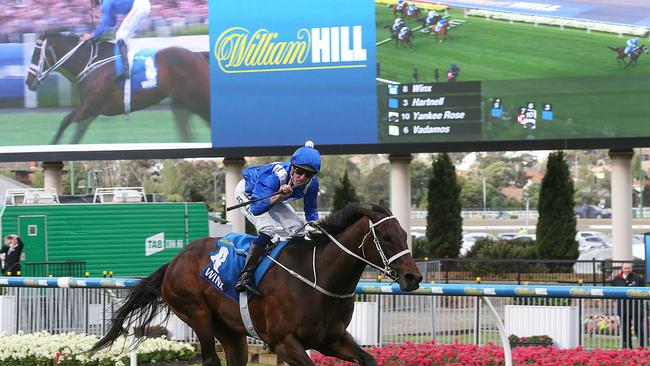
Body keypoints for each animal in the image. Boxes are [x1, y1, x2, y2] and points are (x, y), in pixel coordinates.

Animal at [24, 32, 208, 144]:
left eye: (35, 54)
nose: (28, 82)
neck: (90, 66)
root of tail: (198, 55)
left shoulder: (90, 107)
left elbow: (66, 123)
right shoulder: (90, 111)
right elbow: (73, 132)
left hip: (196, 100)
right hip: (181, 103)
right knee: (186, 130)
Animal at [92, 203, 426, 366]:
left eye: (405, 235)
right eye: (387, 238)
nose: (414, 277)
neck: (318, 278)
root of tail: (175, 260)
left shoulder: (331, 340)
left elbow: (368, 358)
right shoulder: (282, 341)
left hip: (231, 331)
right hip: (196, 313)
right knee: (210, 359)